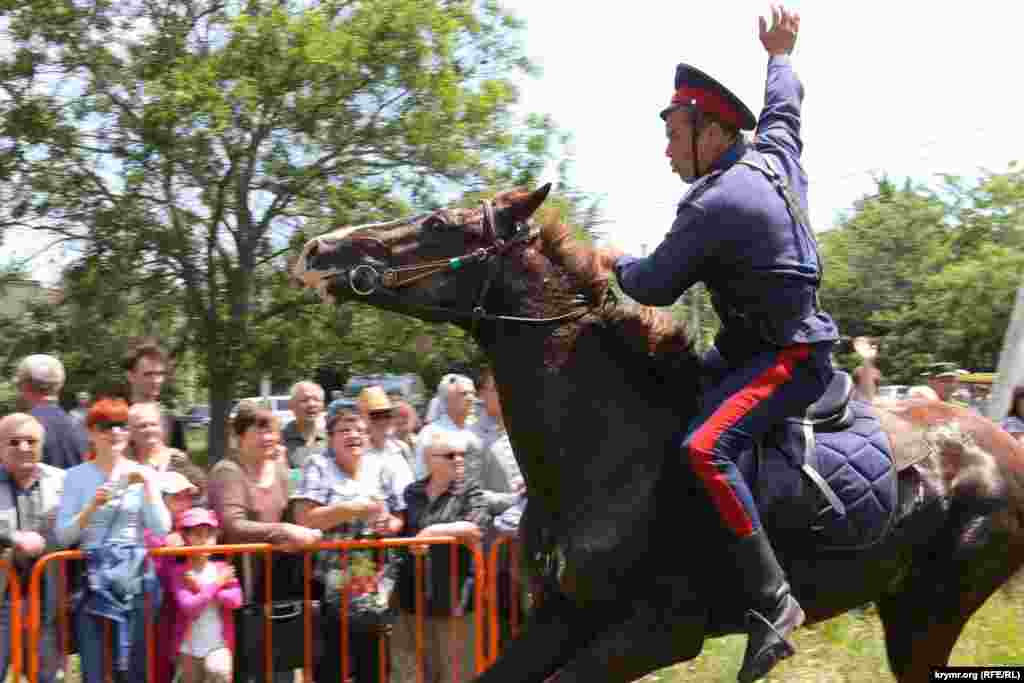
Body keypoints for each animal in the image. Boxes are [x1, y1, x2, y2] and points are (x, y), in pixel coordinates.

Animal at [288, 184, 1024, 679]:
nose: (319, 249)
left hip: (927, 613)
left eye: (439, 223)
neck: (604, 450)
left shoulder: (654, 634)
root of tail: (1002, 443)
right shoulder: (561, 615)